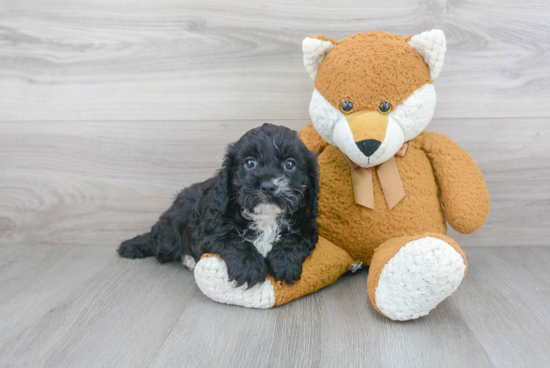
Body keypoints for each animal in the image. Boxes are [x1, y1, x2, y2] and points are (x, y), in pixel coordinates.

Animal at [118, 123, 322, 288]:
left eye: (290, 164)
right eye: (250, 163)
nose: (268, 186)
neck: (266, 217)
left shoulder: (307, 225)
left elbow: (295, 239)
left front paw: (284, 263)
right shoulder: (211, 227)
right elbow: (233, 240)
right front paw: (250, 268)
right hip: (169, 234)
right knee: (158, 244)